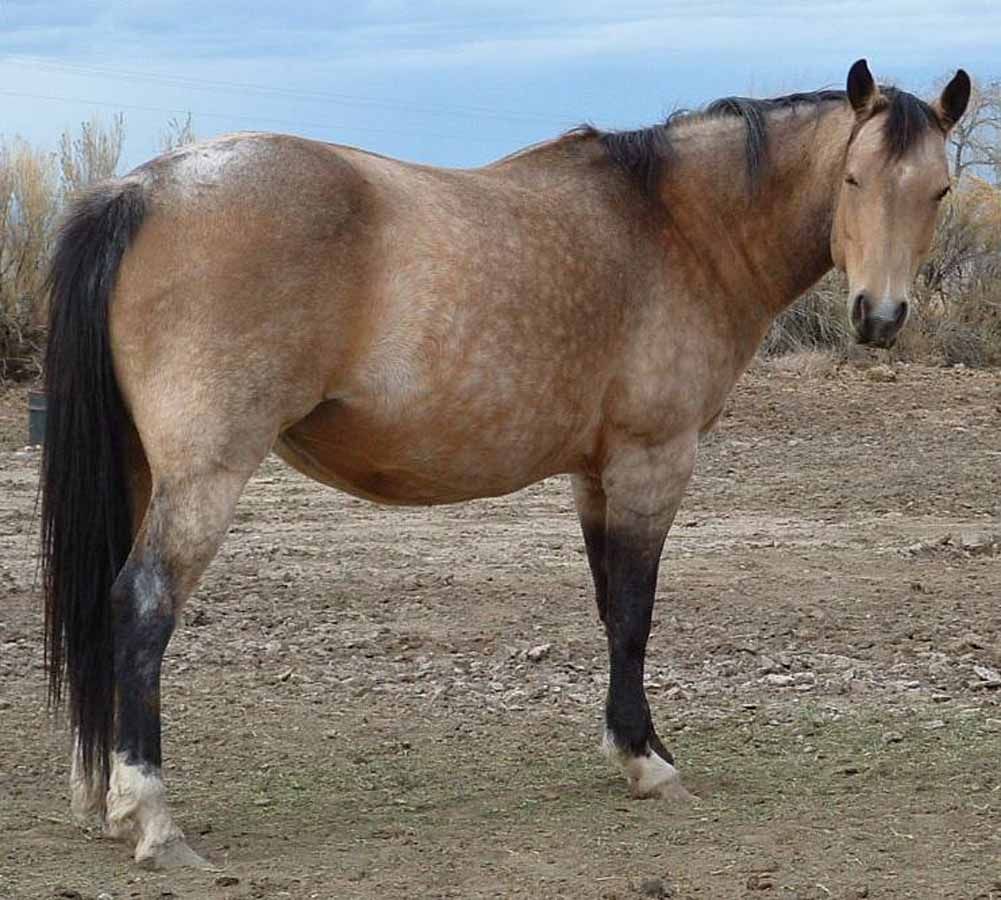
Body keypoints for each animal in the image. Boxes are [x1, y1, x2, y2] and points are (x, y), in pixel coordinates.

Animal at [40, 59, 970, 868]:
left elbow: (609, 610)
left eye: (937, 190)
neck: (675, 229)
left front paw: (636, 743)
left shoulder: (595, 474)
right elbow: (635, 612)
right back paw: (151, 817)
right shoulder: (652, 462)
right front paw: (647, 764)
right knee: (143, 604)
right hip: (204, 475)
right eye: (852, 181)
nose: (879, 316)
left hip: (141, 471)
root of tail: (141, 190)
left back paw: (100, 796)